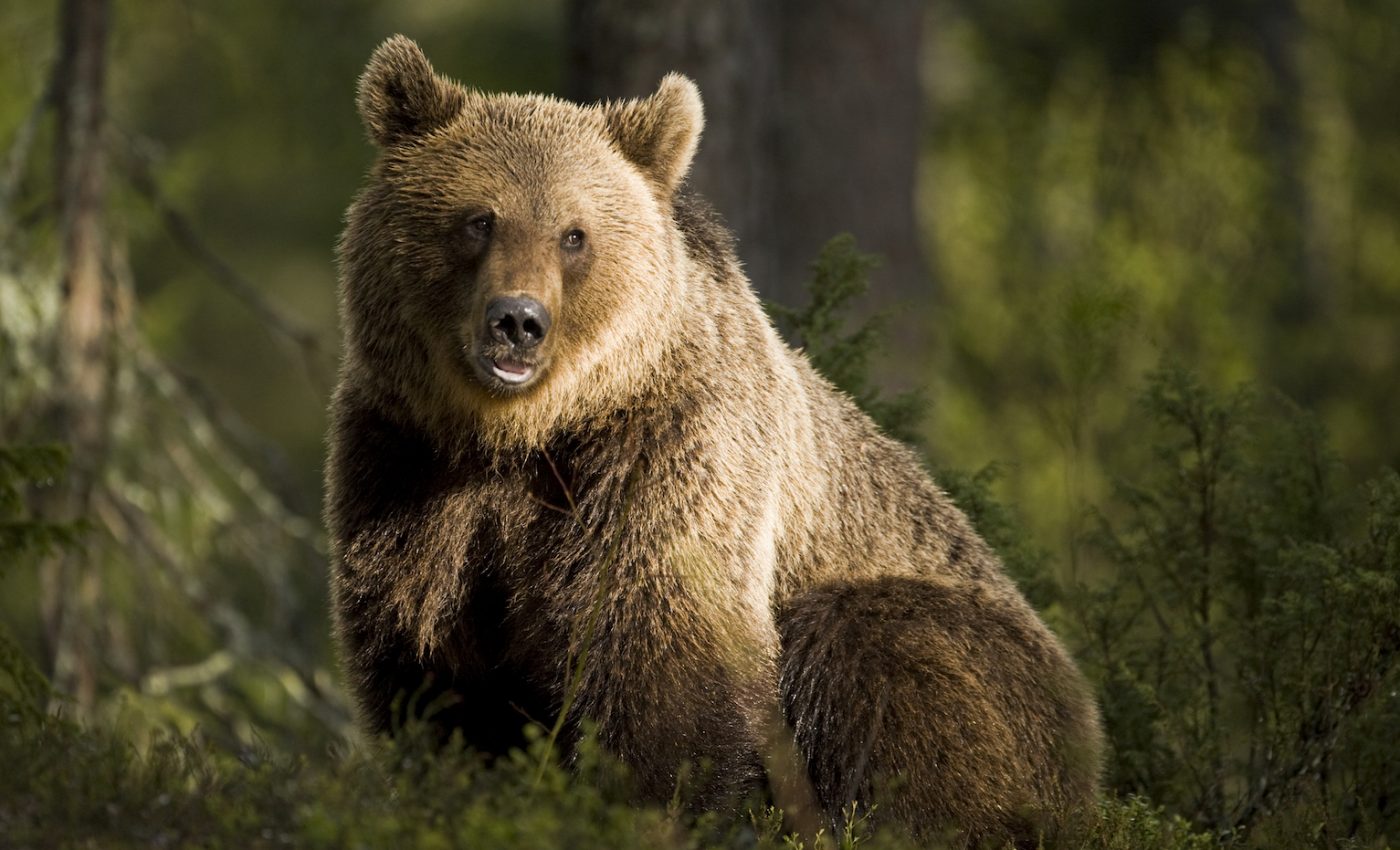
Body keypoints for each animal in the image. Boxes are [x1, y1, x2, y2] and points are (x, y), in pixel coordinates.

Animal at [326, 34, 1103, 844]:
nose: (517, 320)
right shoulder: (406, 464)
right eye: (479, 219)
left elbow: (665, 655)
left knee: (870, 648)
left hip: (990, 672)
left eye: (574, 234)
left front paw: (650, 805)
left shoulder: (667, 453)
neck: (524, 434)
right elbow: (429, 662)